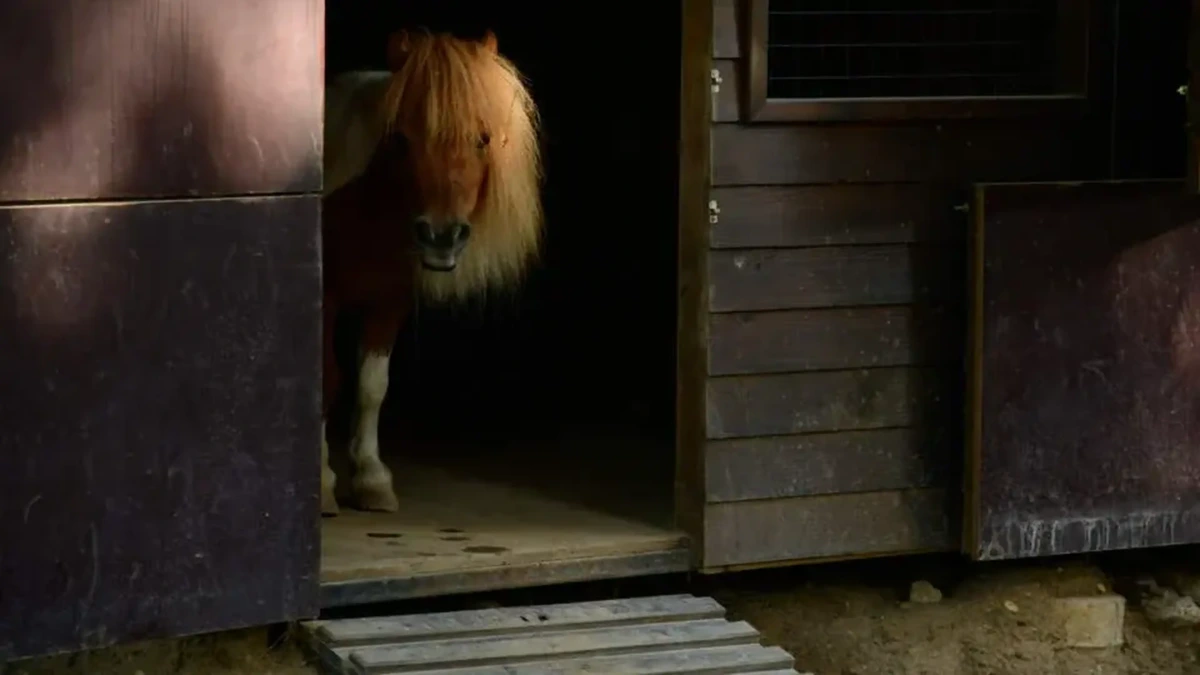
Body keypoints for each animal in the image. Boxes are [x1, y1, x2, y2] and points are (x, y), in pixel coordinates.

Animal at [319, 28, 543, 516]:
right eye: (401, 139)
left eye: (482, 138)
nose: (442, 236)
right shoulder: (323, 300)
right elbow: (327, 379)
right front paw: (323, 480)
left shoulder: (390, 302)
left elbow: (372, 386)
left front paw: (371, 477)